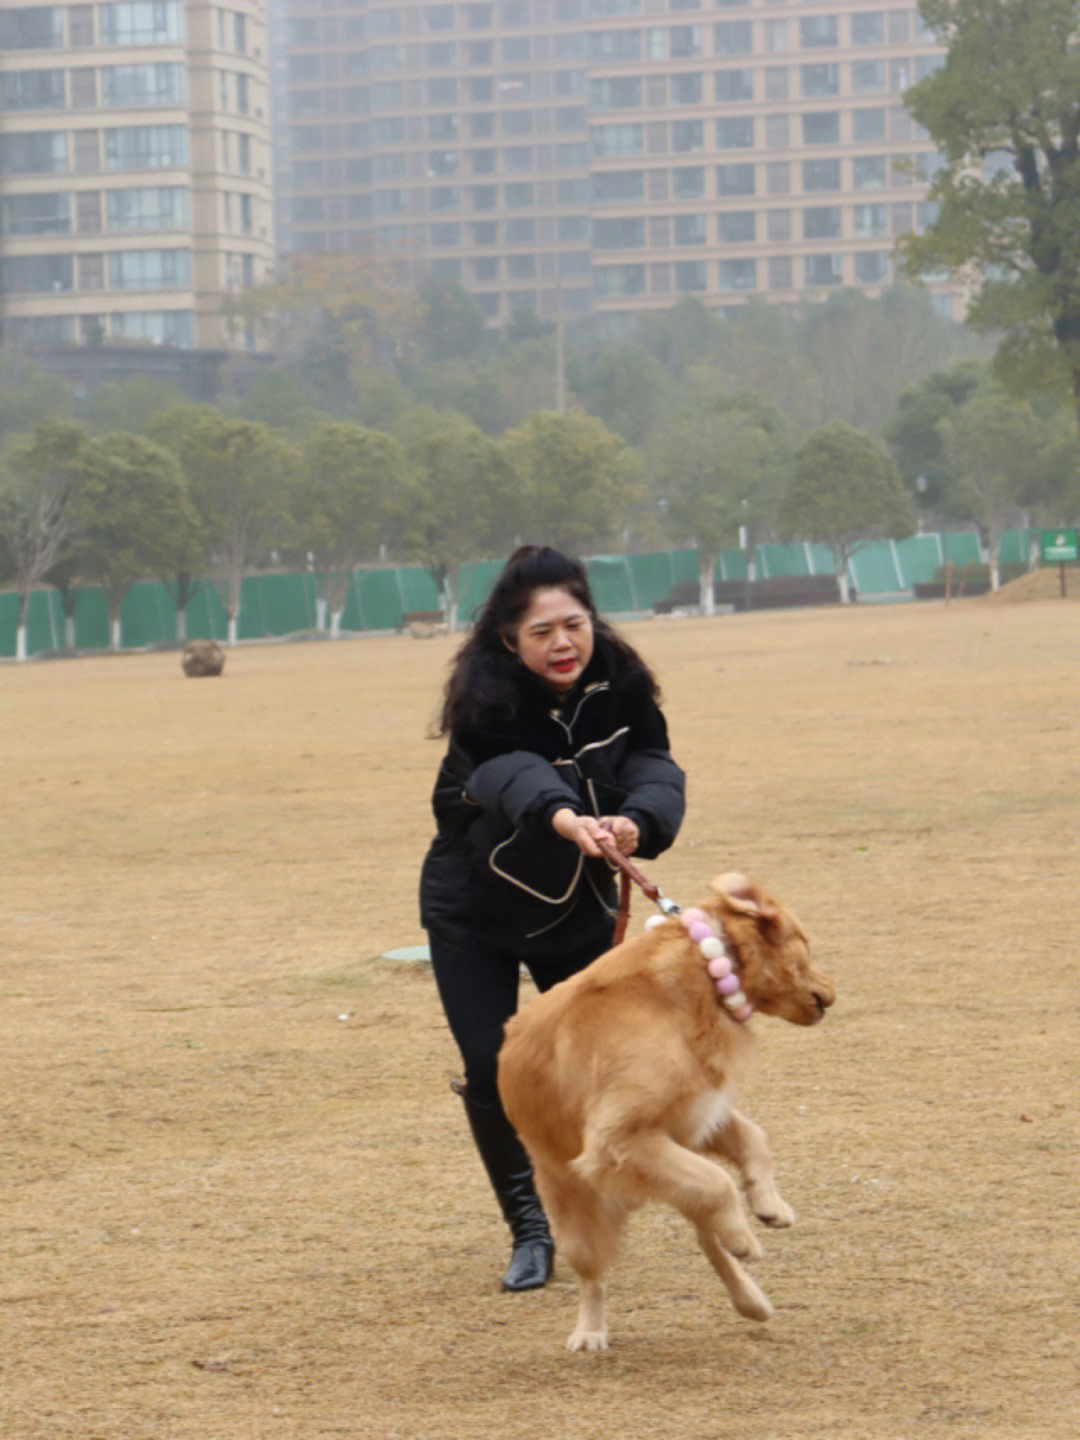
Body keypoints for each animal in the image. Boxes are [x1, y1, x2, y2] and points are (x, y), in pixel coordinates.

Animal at [498, 869, 835, 1353]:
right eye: (804, 942)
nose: (833, 994)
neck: (704, 976)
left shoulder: (694, 1115)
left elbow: (753, 1139)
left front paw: (770, 1205)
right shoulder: (622, 1136)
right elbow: (721, 1182)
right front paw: (745, 1229)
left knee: (709, 1240)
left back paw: (751, 1300)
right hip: (574, 1206)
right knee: (594, 1278)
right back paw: (590, 1331)